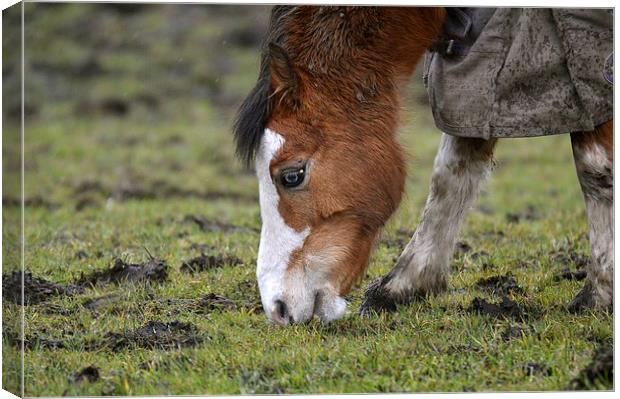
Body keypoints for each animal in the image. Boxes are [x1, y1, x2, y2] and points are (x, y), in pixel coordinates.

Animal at [235, 5, 612, 324]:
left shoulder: (588, 62)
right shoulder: (476, 73)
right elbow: (452, 171)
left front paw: (599, 295)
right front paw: (405, 285)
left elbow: (595, 167)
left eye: (292, 175)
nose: (277, 308)